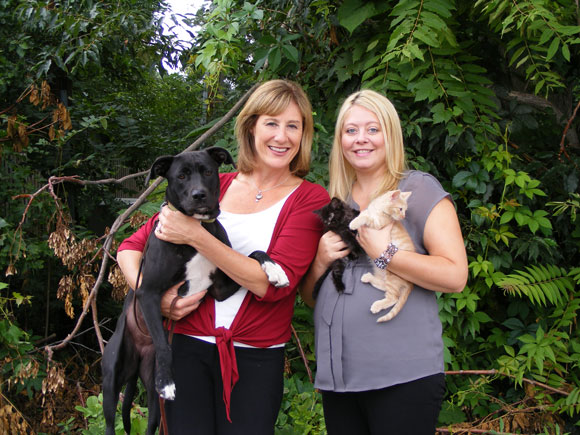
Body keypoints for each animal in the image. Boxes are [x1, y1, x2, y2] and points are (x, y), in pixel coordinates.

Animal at [103, 148, 288, 434]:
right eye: (181, 176)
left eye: (208, 171)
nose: (198, 195)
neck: (196, 231)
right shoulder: (149, 293)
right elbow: (165, 346)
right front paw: (167, 382)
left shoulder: (220, 287)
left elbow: (253, 254)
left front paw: (275, 270)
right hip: (112, 381)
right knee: (110, 421)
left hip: (154, 405)